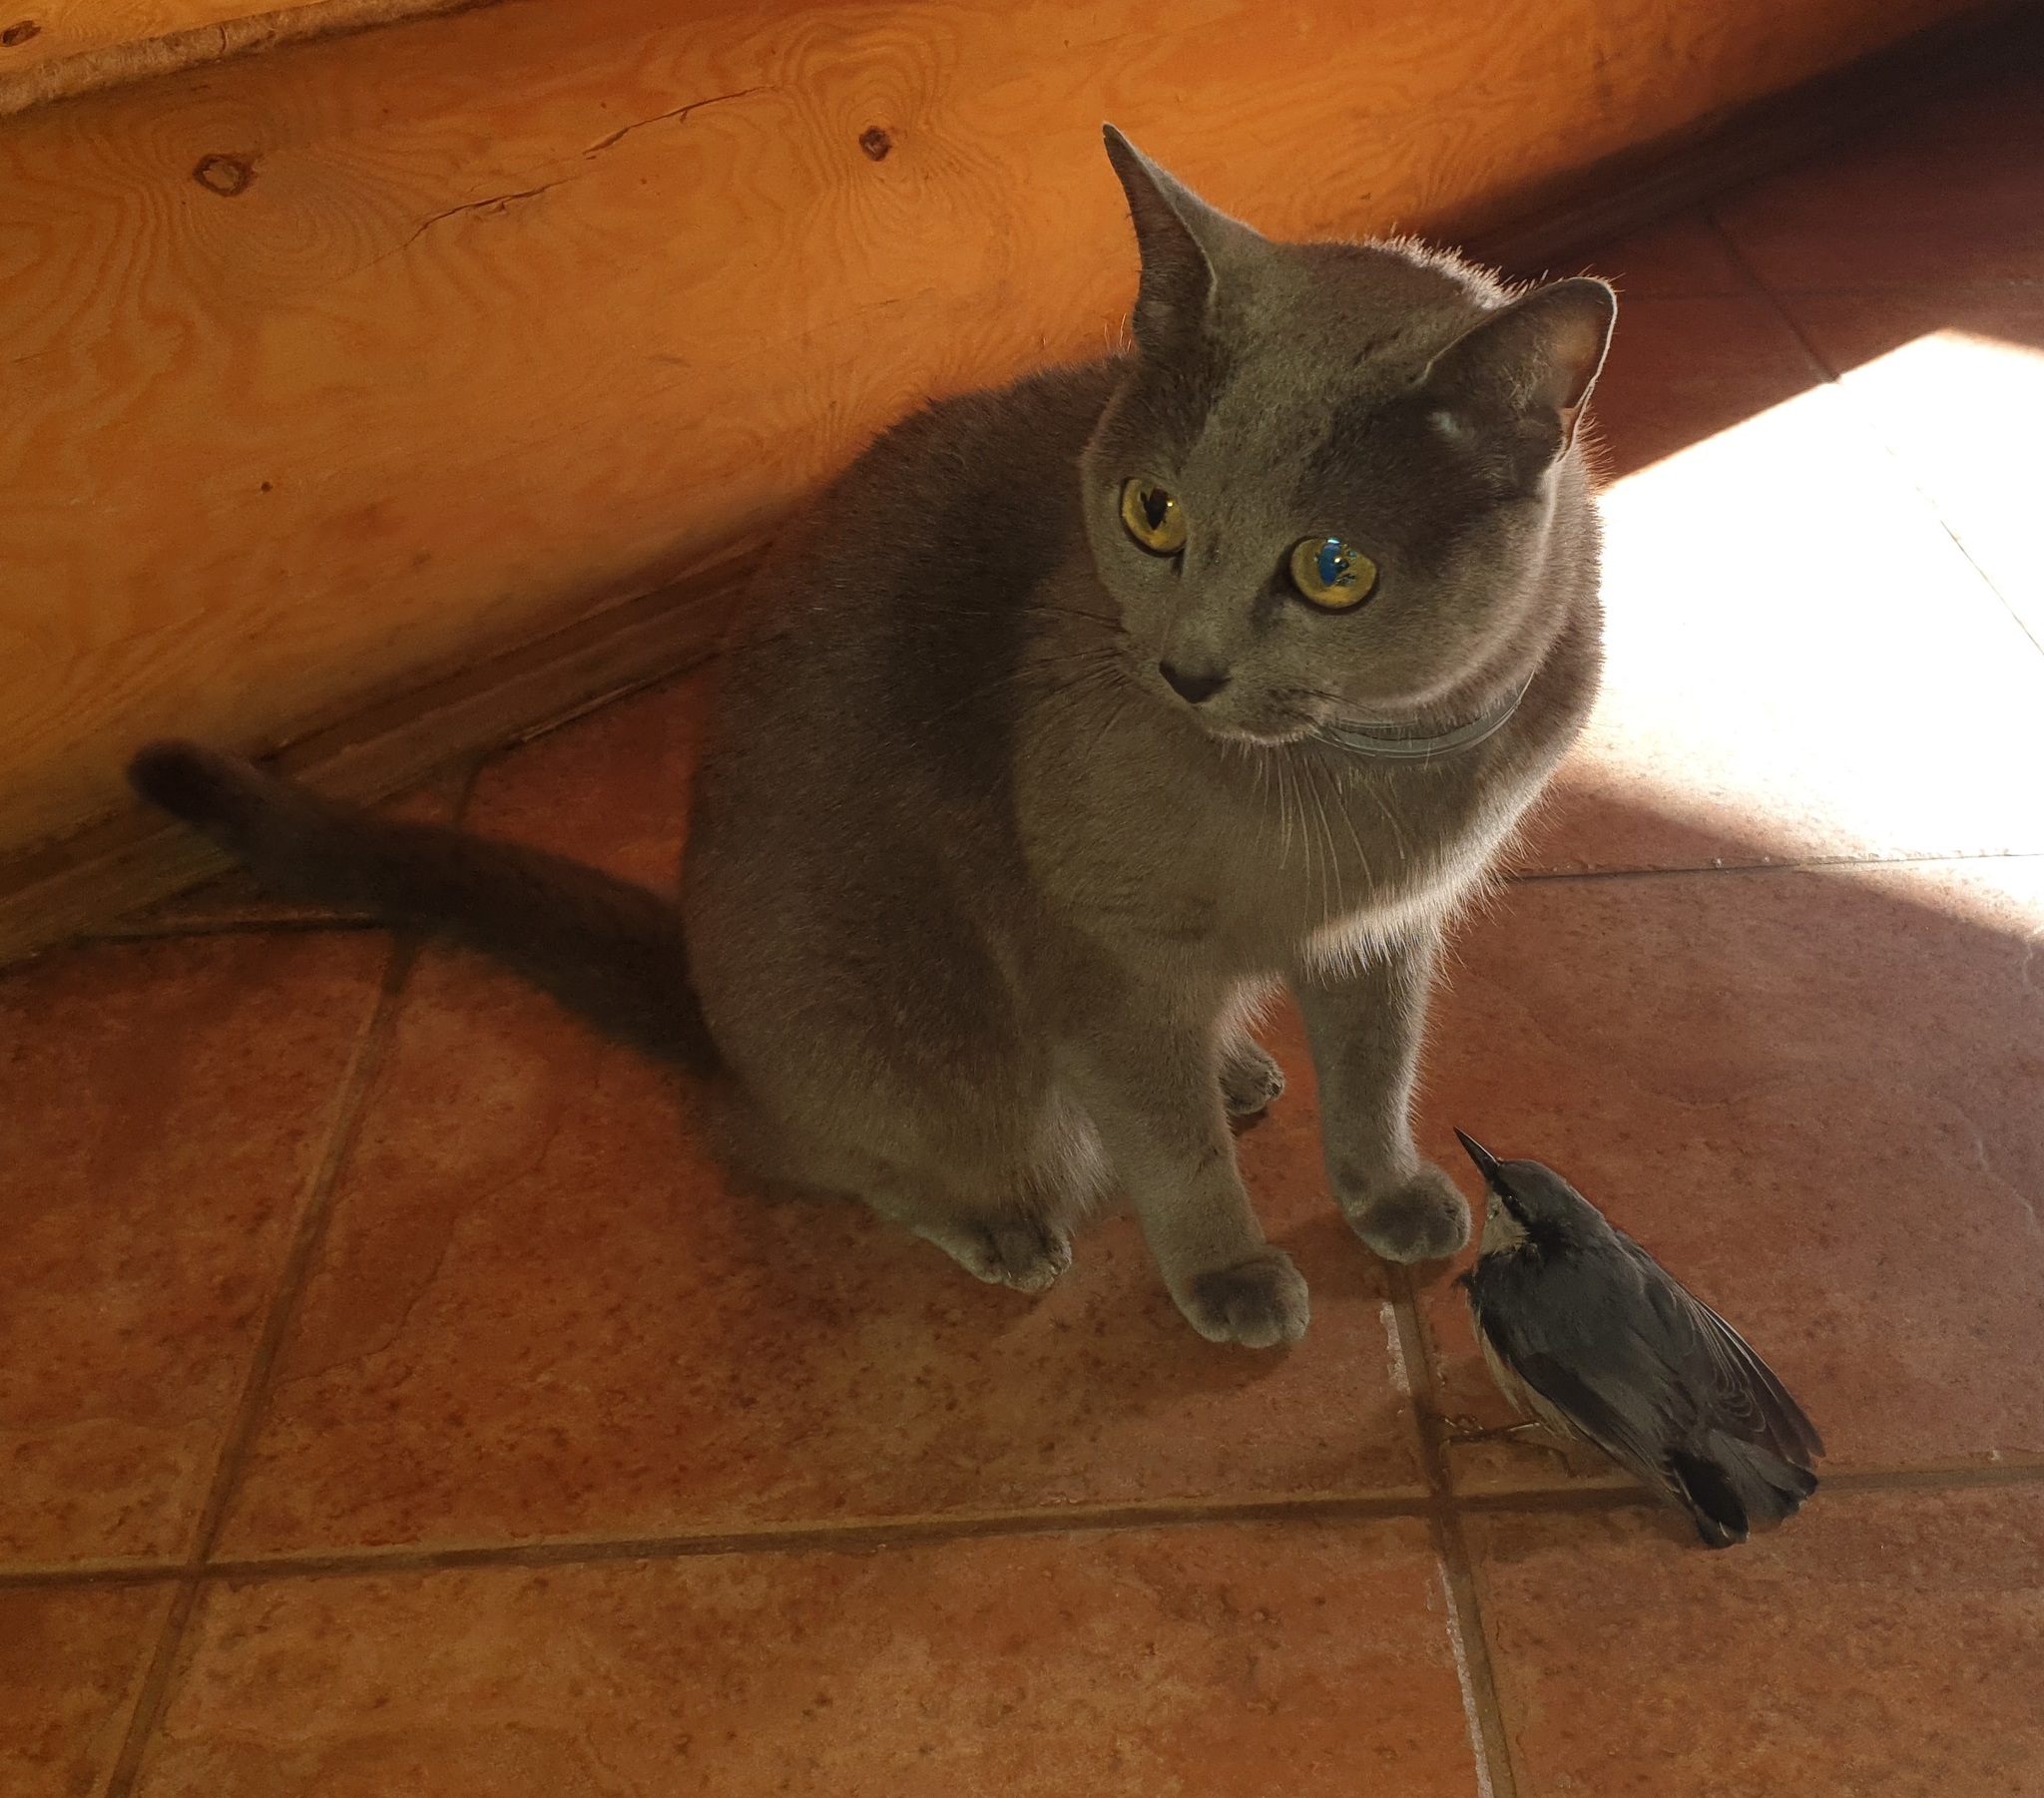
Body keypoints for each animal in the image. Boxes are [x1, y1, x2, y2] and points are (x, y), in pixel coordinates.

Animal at [128, 126, 1610, 1348]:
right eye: (1151, 513)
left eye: (1332, 569)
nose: (1184, 668)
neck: (1359, 780)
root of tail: (709, 1007)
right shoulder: (1096, 955)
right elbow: (1172, 1148)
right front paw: (1230, 1276)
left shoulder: (1388, 932)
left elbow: (1373, 1074)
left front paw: (1392, 1195)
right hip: (909, 1044)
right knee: (821, 1146)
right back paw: (1006, 1219)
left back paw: (1239, 1063)